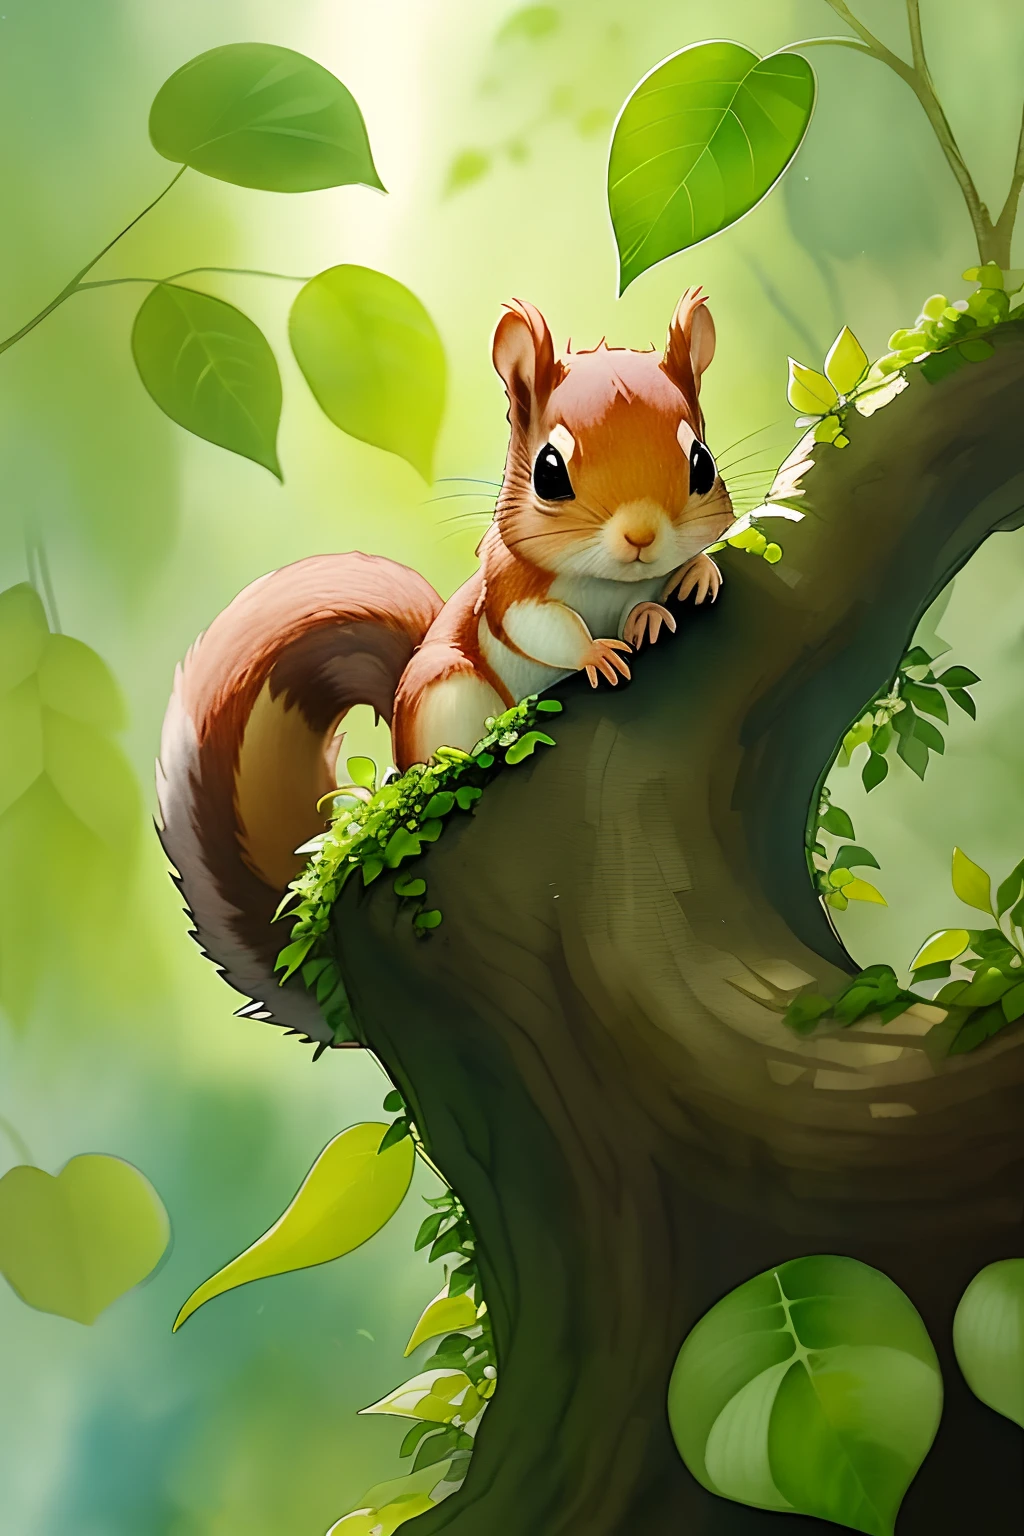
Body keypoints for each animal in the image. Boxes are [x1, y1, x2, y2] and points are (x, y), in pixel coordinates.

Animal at [157, 287, 735, 1048]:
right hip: (445, 692)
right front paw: (597, 652)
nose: (641, 535)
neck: (612, 583)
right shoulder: (508, 591)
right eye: (550, 471)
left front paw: (689, 580)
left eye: (702, 462)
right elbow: (543, 628)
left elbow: (677, 575)